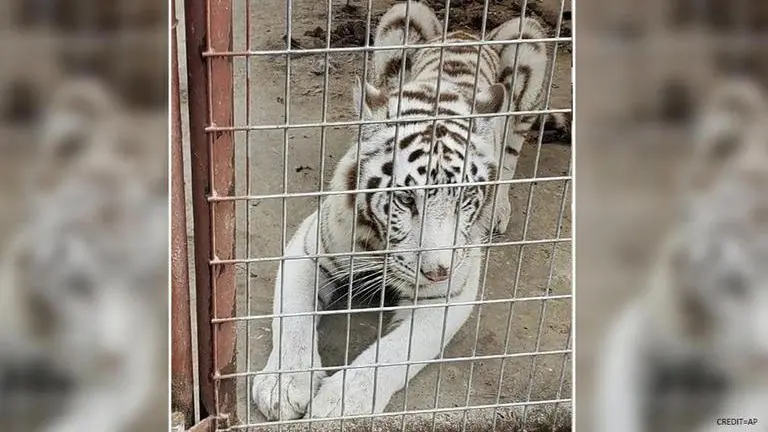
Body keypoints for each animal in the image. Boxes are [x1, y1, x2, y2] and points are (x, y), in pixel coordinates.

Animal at [252, 1, 560, 420]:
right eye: (407, 200)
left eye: (465, 199)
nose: (437, 271)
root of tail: (466, 31)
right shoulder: (308, 249)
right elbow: (293, 320)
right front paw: (282, 386)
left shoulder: (448, 295)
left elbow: (394, 353)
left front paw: (342, 403)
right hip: (401, 19)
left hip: (529, 43)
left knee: (510, 150)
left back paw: (498, 209)